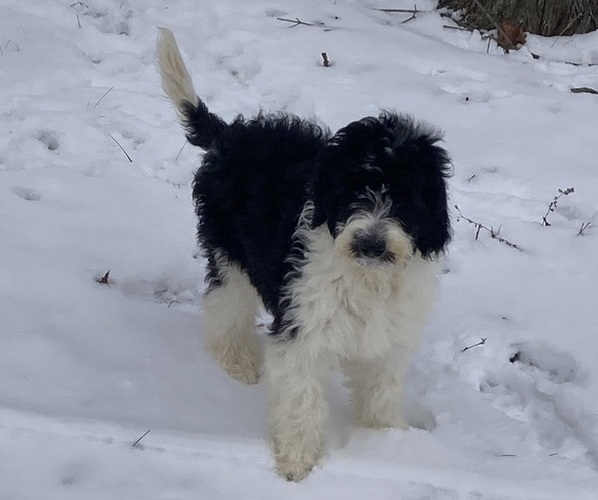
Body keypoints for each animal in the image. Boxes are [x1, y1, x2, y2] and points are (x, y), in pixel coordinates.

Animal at [157, 27, 452, 480]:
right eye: (353, 191)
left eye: (406, 199)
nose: (371, 243)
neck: (364, 274)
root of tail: (231, 136)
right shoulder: (304, 325)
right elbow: (301, 397)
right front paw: (296, 461)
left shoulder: (389, 334)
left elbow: (381, 388)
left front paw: (386, 442)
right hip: (230, 250)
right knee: (225, 305)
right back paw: (236, 361)